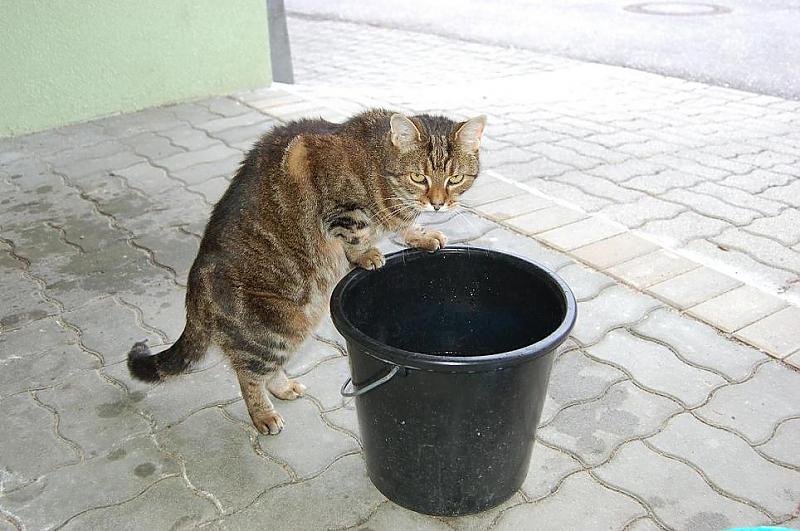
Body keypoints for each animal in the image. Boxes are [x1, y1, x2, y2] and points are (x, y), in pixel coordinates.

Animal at [127, 109, 485, 434]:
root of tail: (195, 290)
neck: (376, 165)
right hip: (273, 329)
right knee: (248, 374)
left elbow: (405, 225)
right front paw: (367, 254)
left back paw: (284, 387)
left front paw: (421, 235)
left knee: (265, 370)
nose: (438, 203)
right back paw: (263, 415)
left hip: (298, 321)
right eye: (418, 178)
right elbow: (356, 233)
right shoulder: (342, 209)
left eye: (454, 179)